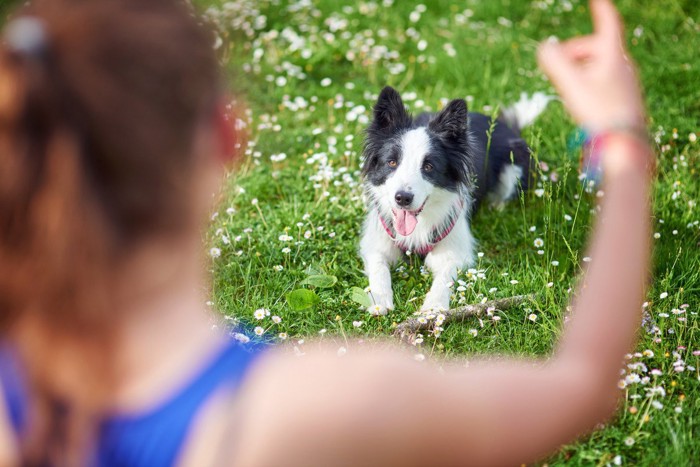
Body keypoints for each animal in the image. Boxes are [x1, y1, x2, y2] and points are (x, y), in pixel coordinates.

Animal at [360, 86, 552, 316]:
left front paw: (434, 307)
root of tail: (506, 126)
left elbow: (445, 277)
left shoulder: (455, 247)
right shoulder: (377, 241)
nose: (403, 198)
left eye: (428, 167)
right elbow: (379, 267)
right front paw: (379, 299)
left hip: (513, 170)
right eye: (391, 162)